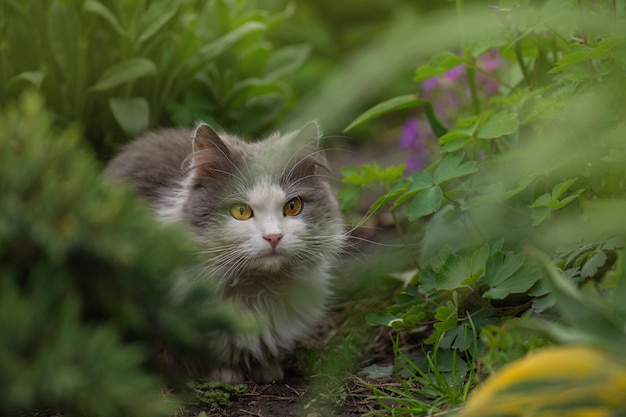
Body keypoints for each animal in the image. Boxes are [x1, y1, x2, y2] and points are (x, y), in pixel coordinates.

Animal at [105, 121, 344, 384]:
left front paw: (268, 369)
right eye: (240, 211)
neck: (256, 291)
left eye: (293, 207)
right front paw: (225, 374)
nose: (273, 237)